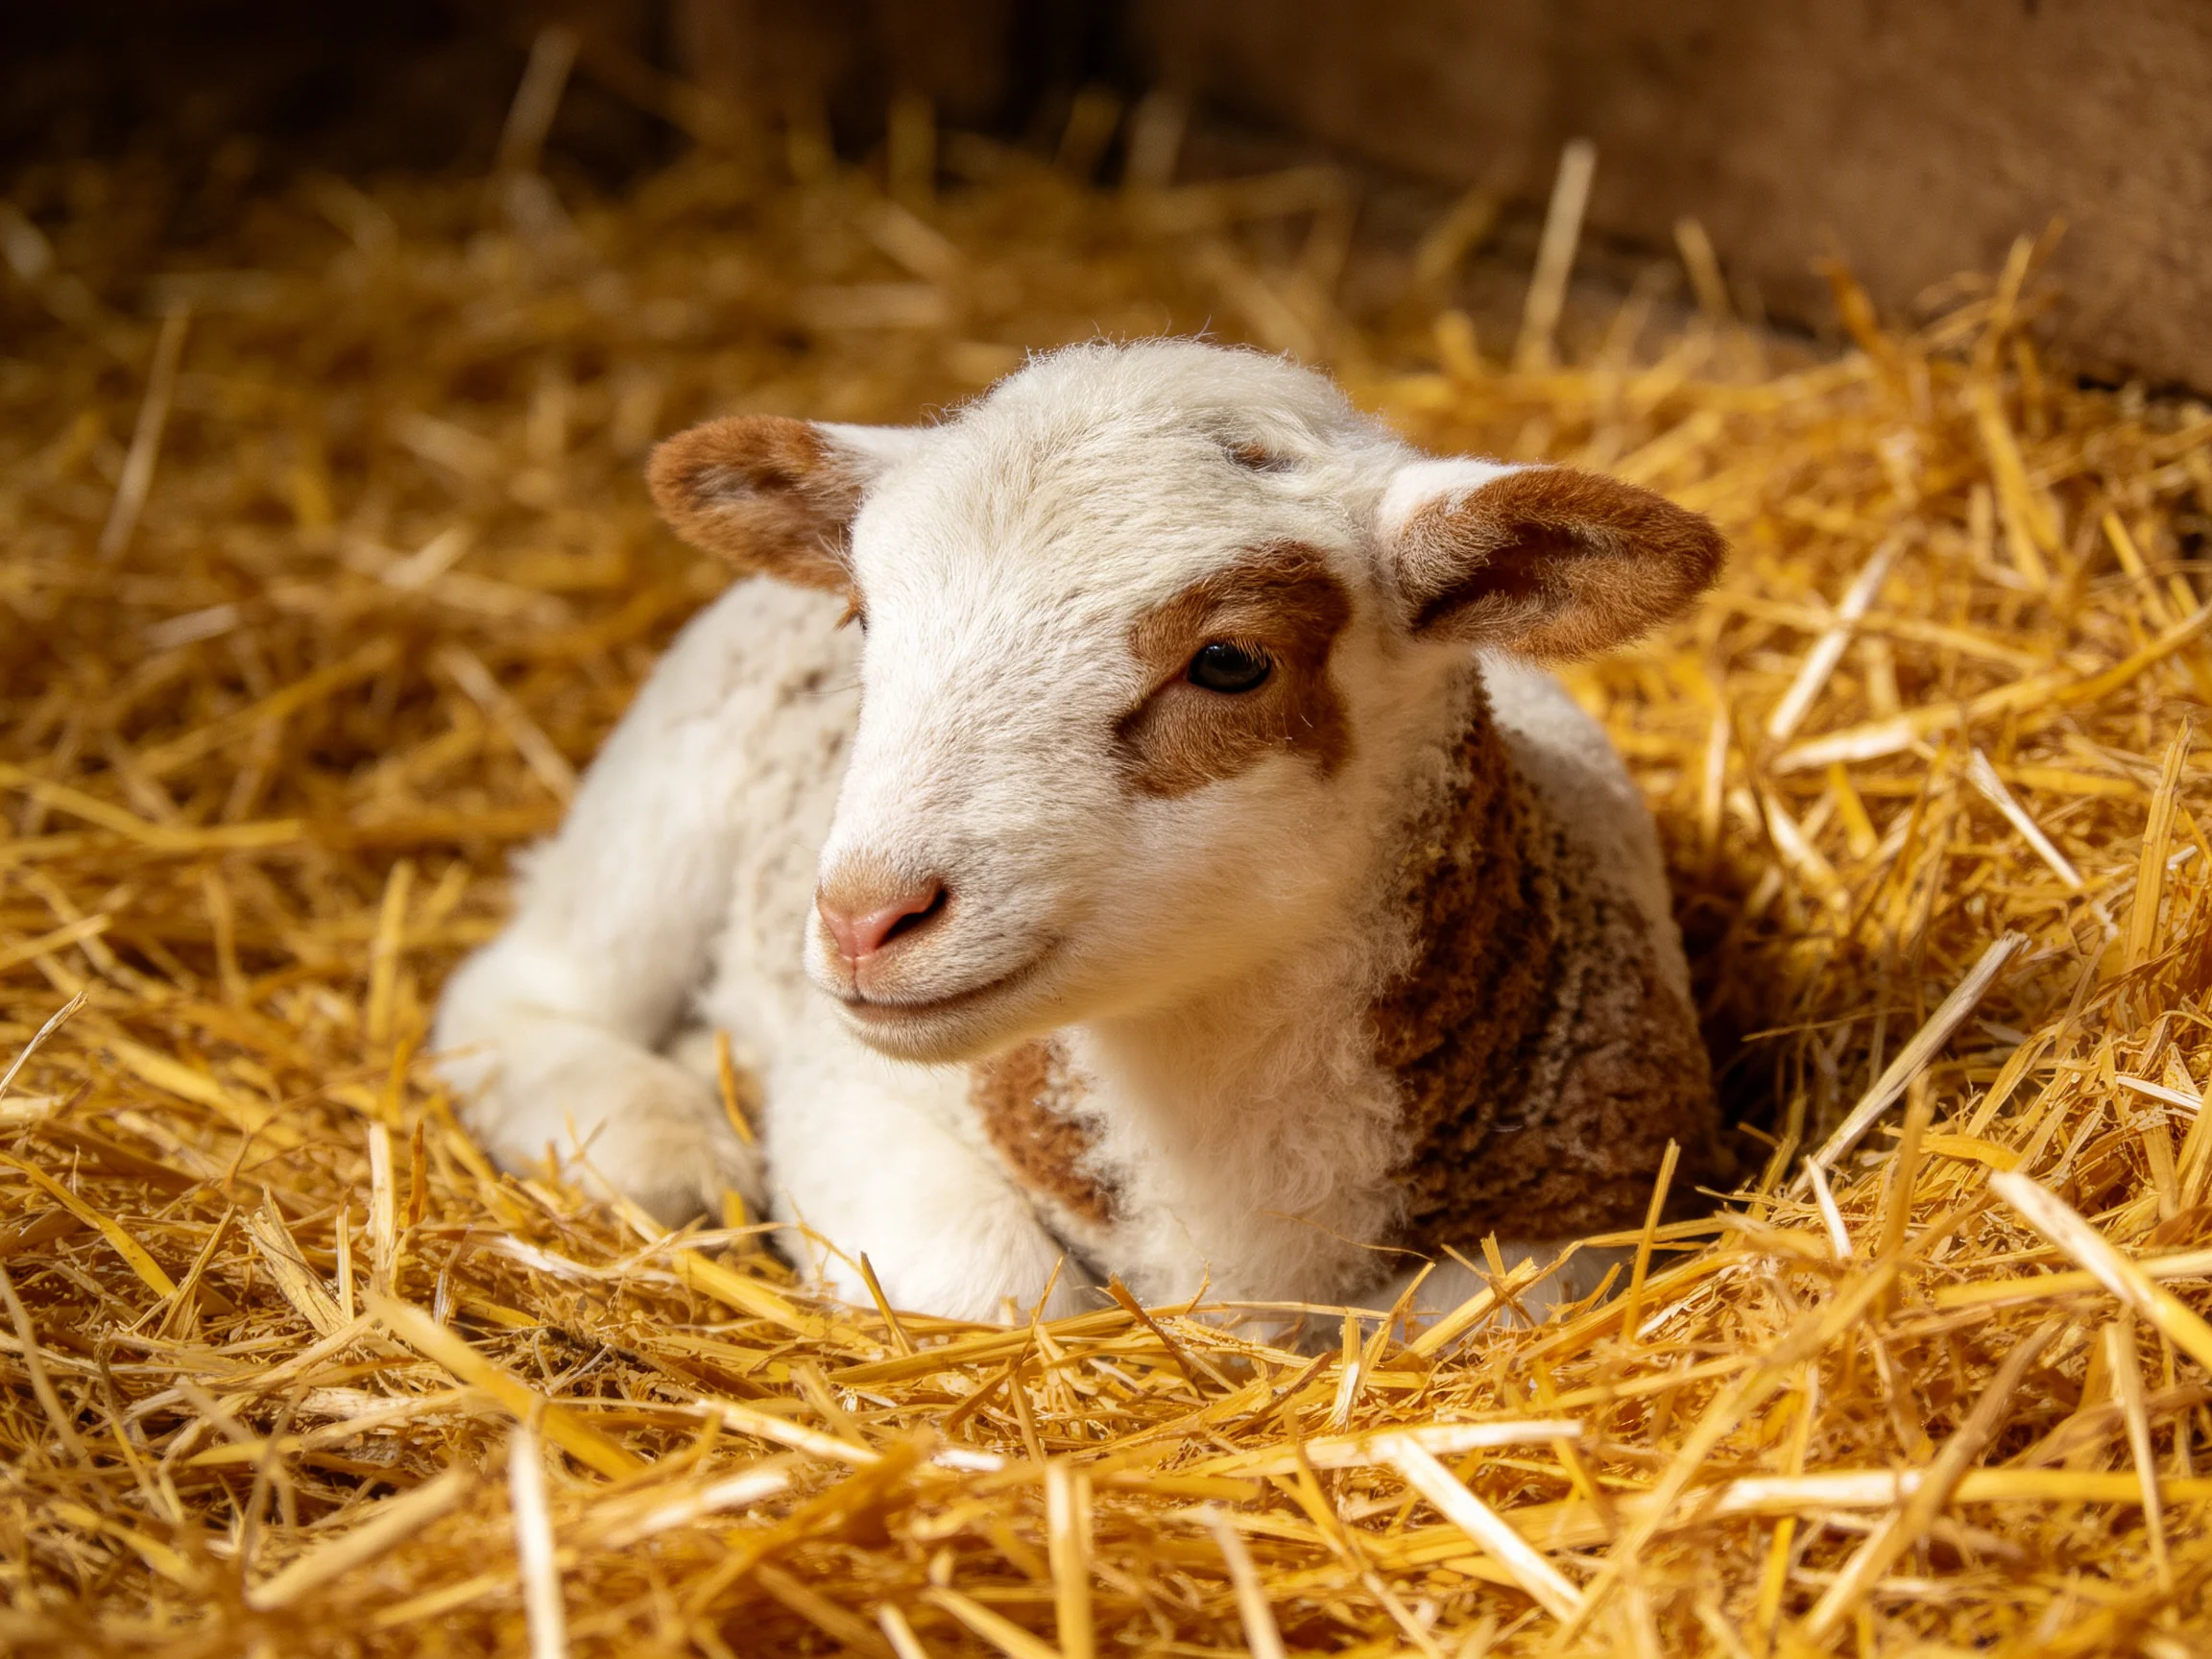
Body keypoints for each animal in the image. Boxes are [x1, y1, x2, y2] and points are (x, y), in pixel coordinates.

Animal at [432, 339, 1728, 1328]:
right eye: (865, 620)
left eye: (1230, 661)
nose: (865, 919)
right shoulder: (855, 1100)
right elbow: (1005, 1298)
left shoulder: (1601, 1206)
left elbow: (1445, 1321)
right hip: (666, 793)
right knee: (512, 994)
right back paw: (659, 1144)